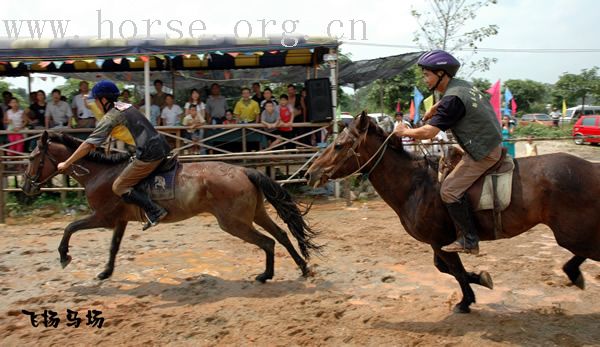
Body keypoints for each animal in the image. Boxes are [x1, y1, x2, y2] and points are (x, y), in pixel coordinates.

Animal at [21, 133, 318, 282]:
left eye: (33, 157)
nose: (25, 187)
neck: (100, 173)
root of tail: (245, 170)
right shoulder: (120, 221)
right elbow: (114, 247)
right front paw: (106, 272)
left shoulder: (103, 218)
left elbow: (70, 227)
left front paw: (64, 255)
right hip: (256, 214)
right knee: (282, 235)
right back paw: (303, 268)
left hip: (235, 223)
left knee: (268, 242)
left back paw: (266, 275)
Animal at [310, 113, 600, 314]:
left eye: (339, 145)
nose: (311, 172)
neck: (416, 185)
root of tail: (592, 168)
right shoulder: (438, 243)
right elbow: (446, 269)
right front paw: (480, 280)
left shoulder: (441, 242)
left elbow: (456, 271)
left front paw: (466, 300)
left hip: (570, 233)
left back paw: (573, 272)